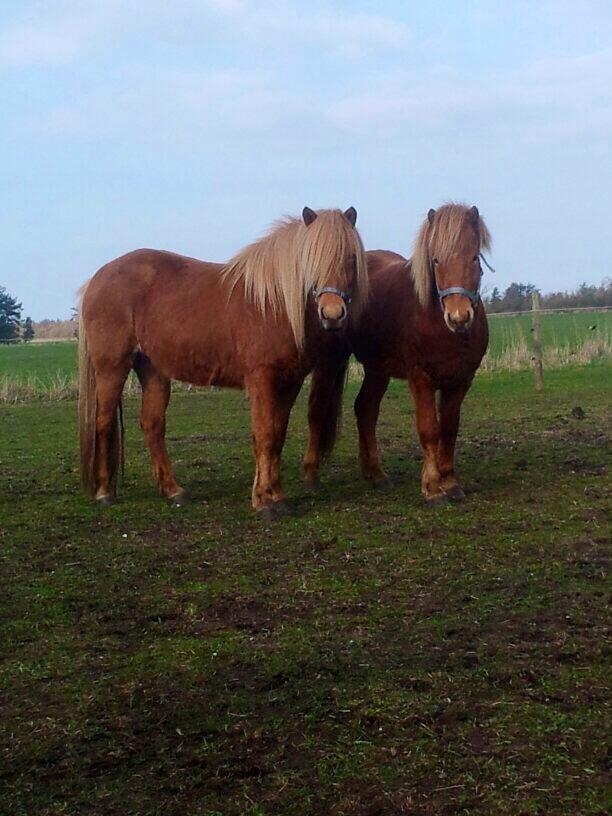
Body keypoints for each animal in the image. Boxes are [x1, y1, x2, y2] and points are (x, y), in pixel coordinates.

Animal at [78, 207, 366, 520]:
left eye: (351, 257)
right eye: (309, 258)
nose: (332, 314)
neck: (273, 303)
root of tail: (97, 278)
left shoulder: (290, 382)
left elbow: (277, 434)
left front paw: (276, 495)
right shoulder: (261, 379)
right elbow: (264, 434)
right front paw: (264, 502)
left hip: (152, 369)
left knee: (152, 425)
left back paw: (173, 491)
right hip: (112, 367)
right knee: (103, 421)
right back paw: (104, 493)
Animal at [306, 204, 492, 506]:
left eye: (474, 258)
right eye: (436, 260)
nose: (459, 317)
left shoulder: (461, 381)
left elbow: (449, 429)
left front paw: (450, 482)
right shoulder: (421, 377)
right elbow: (429, 429)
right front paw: (432, 488)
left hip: (378, 369)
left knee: (365, 409)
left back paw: (375, 473)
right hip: (329, 363)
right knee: (317, 411)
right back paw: (312, 476)